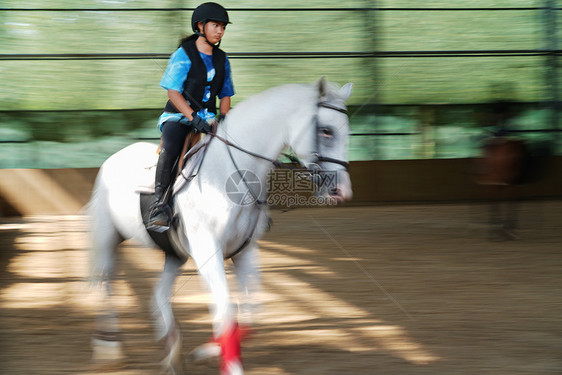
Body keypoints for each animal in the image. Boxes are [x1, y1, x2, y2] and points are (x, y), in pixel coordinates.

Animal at [87, 78, 350, 374]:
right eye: (326, 131)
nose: (342, 190)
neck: (231, 174)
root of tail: (111, 159)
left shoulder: (245, 251)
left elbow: (250, 313)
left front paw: (207, 351)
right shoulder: (207, 251)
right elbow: (225, 310)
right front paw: (228, 363)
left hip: (174, 254)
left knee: (158, 294)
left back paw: (171, 350)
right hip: (107, 237)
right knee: (106, 281)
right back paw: (108, 347)